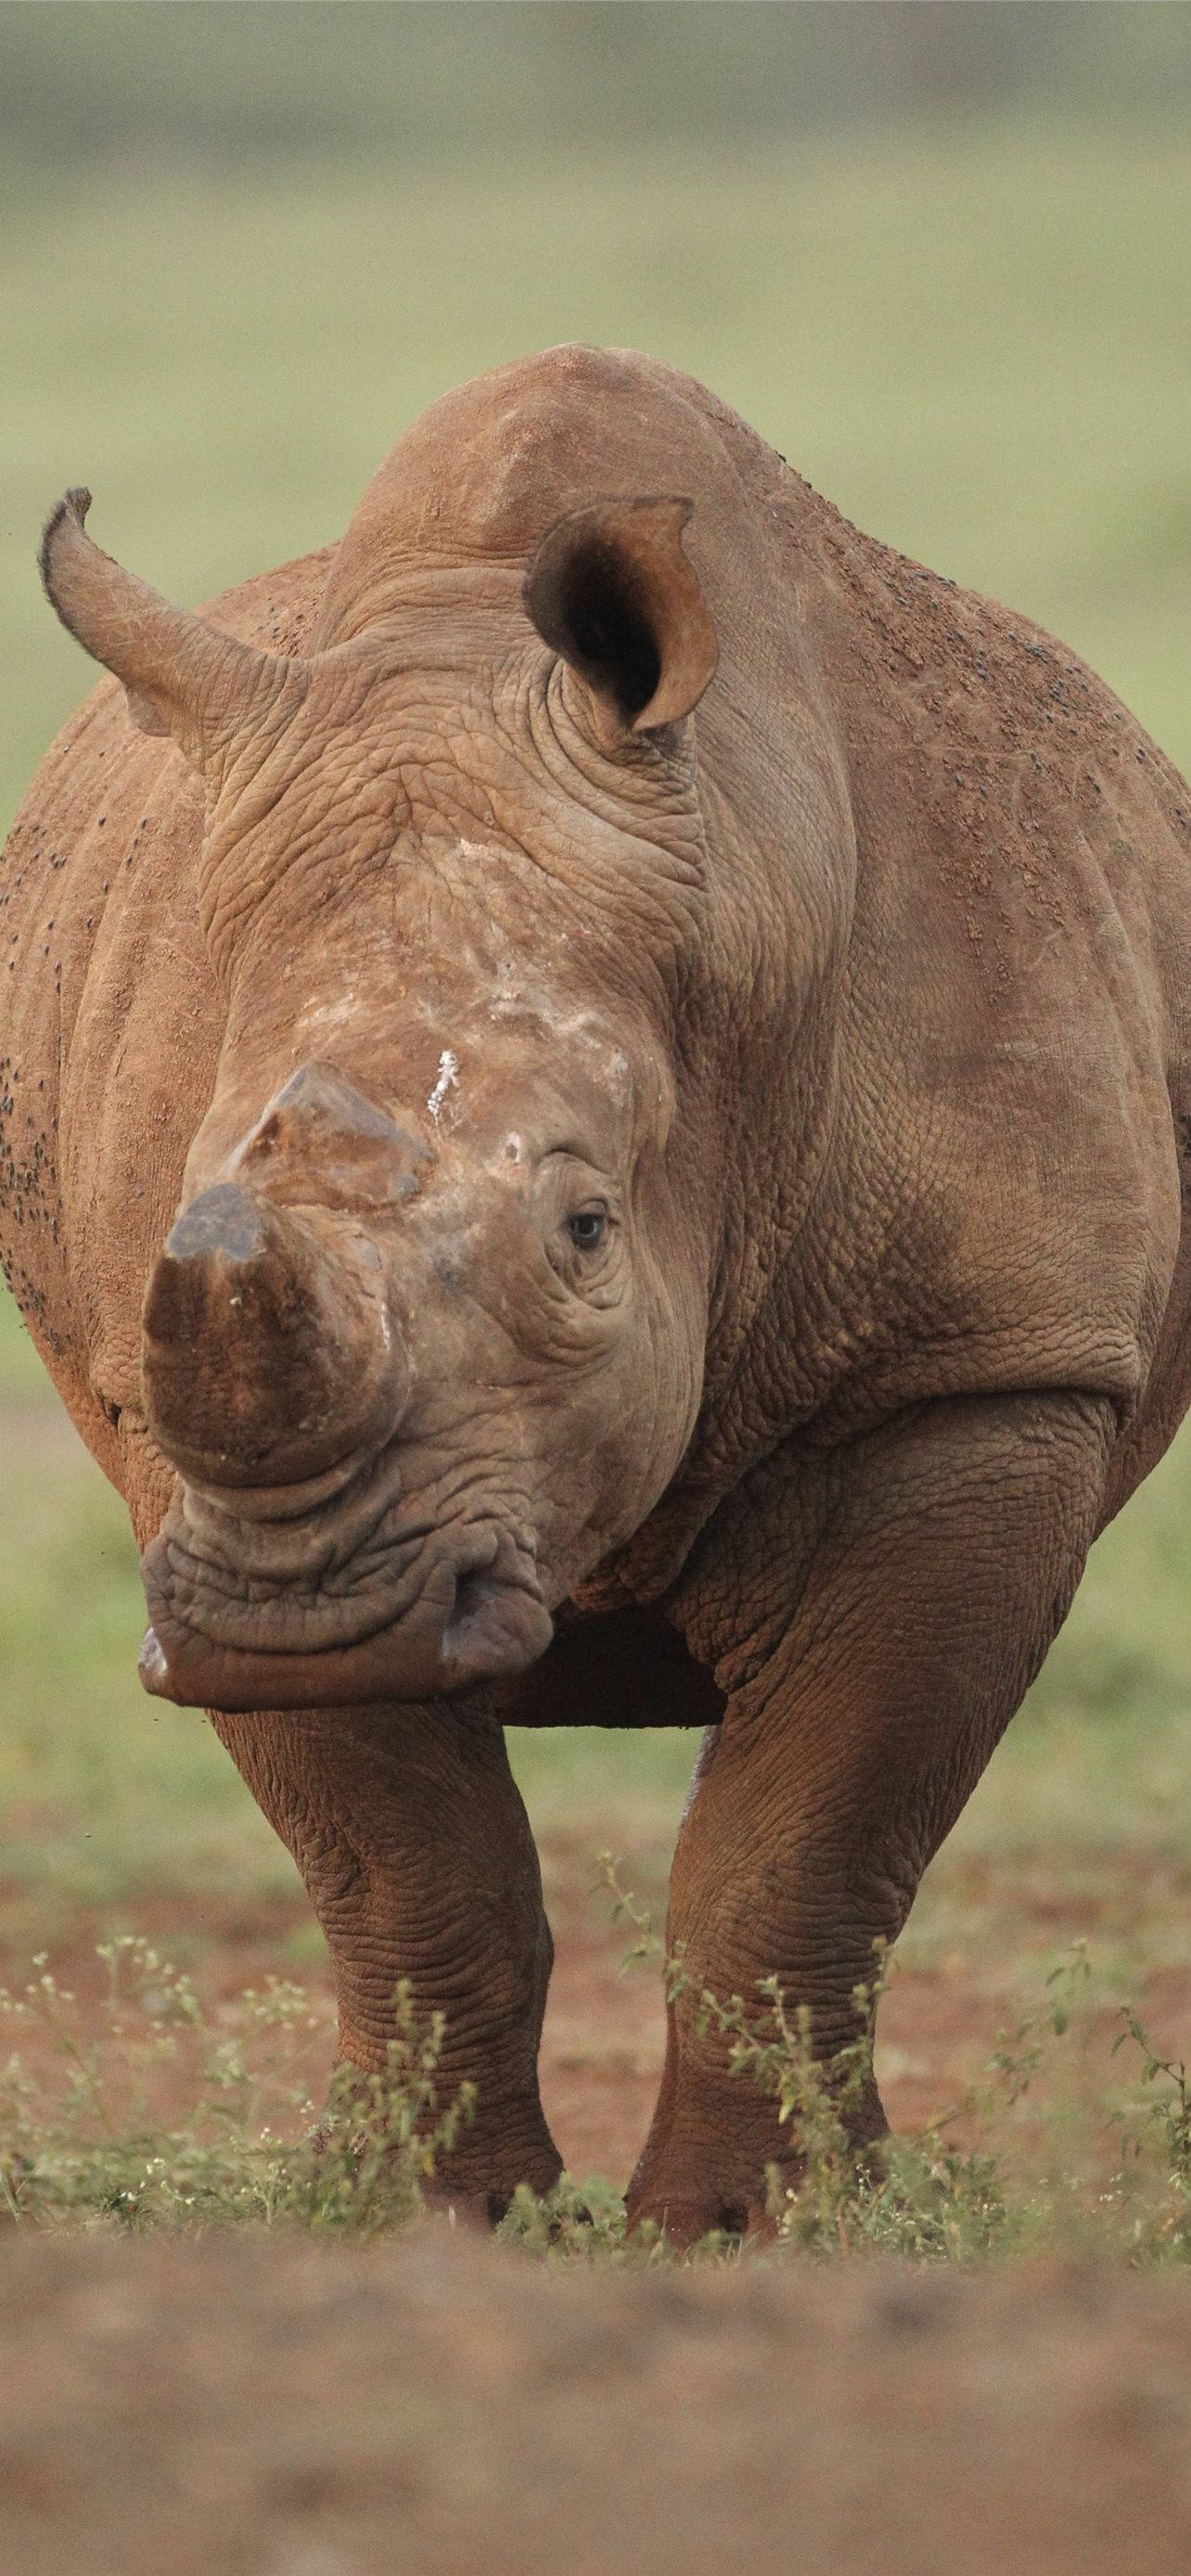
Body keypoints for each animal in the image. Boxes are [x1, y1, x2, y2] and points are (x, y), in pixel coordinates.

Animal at [2, 347, 1189, 2239]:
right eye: (188, 1216)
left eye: (581, 1232)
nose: (291, 1615)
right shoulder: (191, 1446)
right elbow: (405, 1868)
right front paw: (437, 2218)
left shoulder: (986, 1365)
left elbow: (801, 1844)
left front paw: (752, 2232)